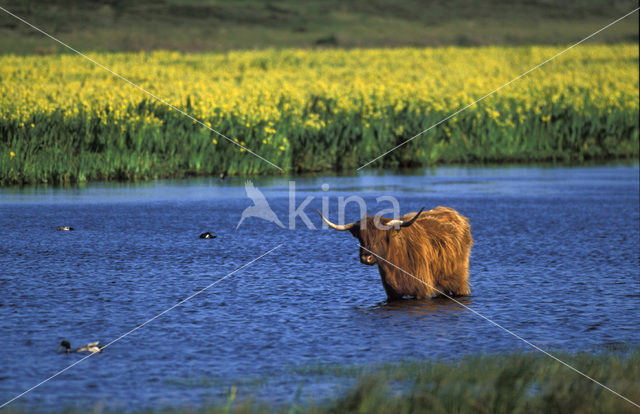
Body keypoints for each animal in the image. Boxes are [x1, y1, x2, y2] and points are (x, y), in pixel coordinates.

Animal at [318, 207, 472, 300]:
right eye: (361, 238)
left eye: (380, 238)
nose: (366, 257)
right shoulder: (392, 293)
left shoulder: (421, 290)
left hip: (460, 281)